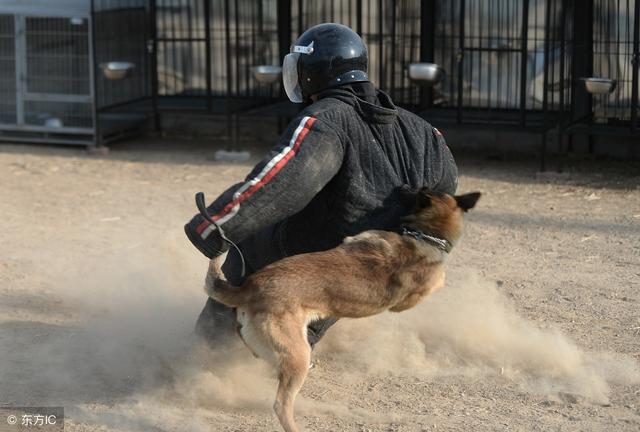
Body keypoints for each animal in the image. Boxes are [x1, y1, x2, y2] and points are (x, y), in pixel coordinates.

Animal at [205, 189, 480, 432]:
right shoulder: (411, 298)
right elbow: (438, 281)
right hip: (297, 356)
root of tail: (250, 287)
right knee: (281, 405)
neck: (425, 236)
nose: (406, 188)